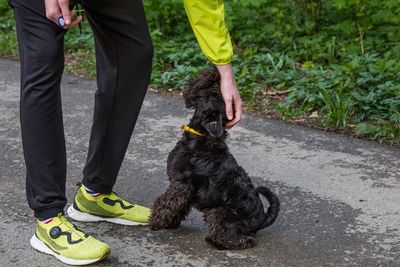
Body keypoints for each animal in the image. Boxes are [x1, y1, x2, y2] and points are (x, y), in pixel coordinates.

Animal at [148, 69, 280, 251]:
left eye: (213, 94)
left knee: (236, 238)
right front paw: (170, 223)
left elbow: (167, 203)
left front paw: (156, 221)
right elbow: (178, 207)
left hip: (222, 212)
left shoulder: (181, 185)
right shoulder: (185, 190)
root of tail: (262, 219)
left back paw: (218, 241)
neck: (203, 136)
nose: (215, 73)